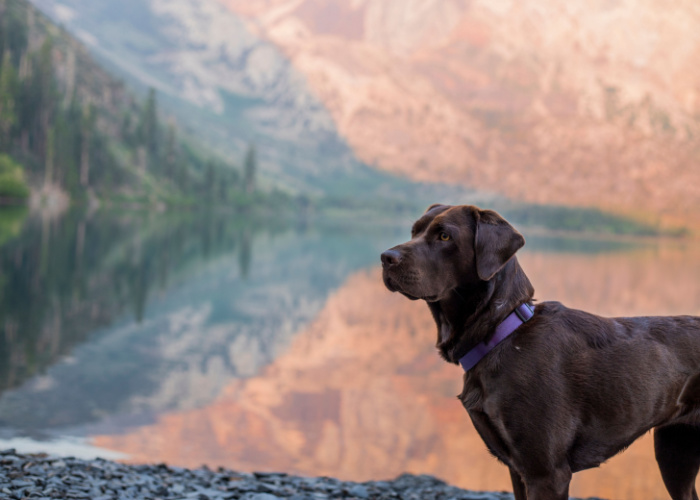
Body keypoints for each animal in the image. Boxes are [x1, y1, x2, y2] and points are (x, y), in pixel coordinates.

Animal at [380, 204, 700, 500]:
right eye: (414, 232)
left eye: (444, 235)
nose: (385, 257)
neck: (502, 333)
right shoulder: (518, 469)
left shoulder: (546, 473)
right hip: (675, 452)